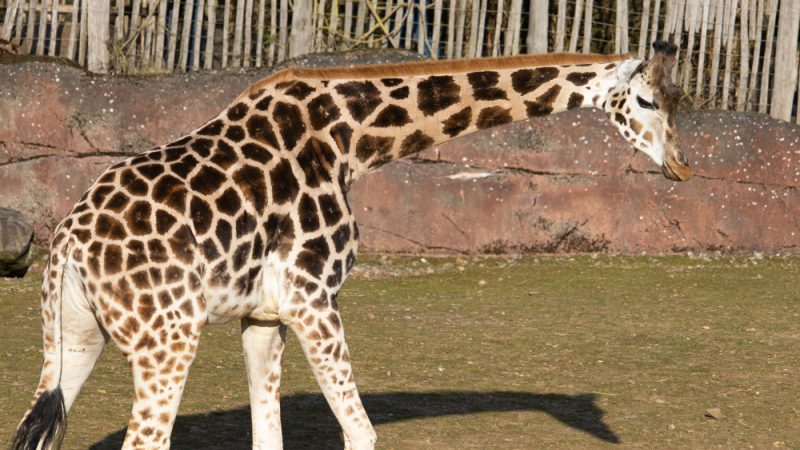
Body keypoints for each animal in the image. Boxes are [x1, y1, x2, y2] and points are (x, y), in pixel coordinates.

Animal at [12, 41, 689, 450]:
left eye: (677, 100)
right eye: (646, 100)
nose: (682, 166)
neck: (352, 142)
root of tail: (66, 243)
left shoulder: (265, 314)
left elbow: (270, 436)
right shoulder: (314, 298)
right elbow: (361, 434)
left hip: (73, 340)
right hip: (167, 340)